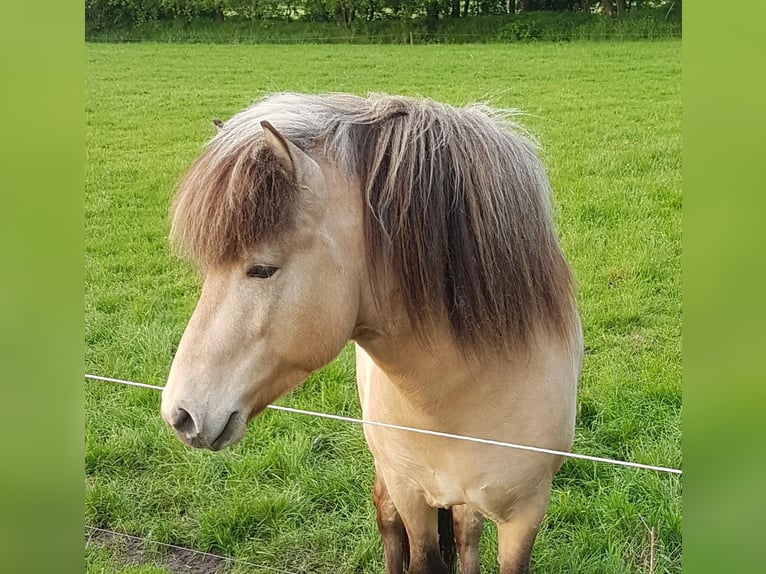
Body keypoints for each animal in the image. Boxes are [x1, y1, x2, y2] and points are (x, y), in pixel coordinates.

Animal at [160, 92, 584, 572]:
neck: (464, 393)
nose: (180, 414)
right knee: (388, 519)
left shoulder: (527, 511)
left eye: (262, 269)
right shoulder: (411, 493)